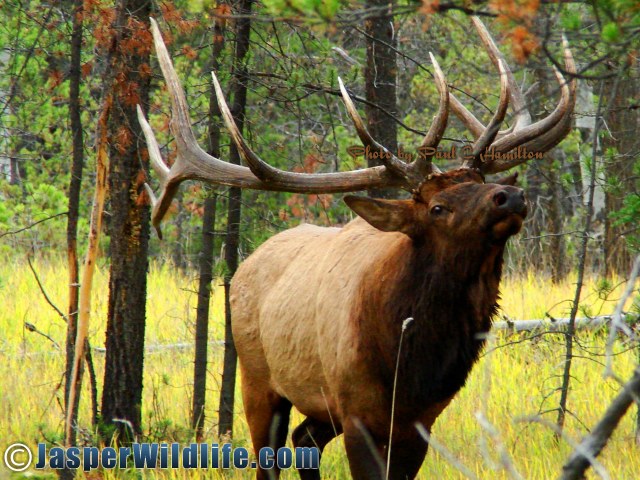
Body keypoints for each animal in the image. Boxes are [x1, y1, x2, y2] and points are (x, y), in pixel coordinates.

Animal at [139, 16, 576, 478]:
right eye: (437, 207)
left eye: (478, 182)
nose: (511, 197)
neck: (412, 366)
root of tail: (244, 266)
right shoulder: (358, 411)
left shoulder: (420, 422)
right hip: (258, 376)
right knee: (269, 455)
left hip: (319, 403)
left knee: (305, 439)